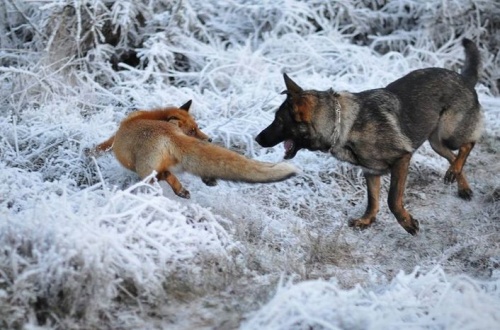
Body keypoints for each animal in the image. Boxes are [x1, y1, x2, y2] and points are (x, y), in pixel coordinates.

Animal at [87, 100, 296, 197]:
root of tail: (168, 133)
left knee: (161, 176)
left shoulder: (114, 139)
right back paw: (190, 187)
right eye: (194, 130)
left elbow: (102, 147)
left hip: (145, 173)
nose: (210, 139)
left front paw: (89, 154)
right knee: (174, 173)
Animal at [256, 38, 482, 235]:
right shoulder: (371, 172)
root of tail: (464, 79)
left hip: (448, 133)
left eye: (278, 121)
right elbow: (372, 200)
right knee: (453, 156)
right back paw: (460, 183)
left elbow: (392, 200)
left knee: (468, 144)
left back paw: (455, 171)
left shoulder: (402, 159)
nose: (257, 139)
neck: (342, 124)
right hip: (436, 142)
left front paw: (407, 223)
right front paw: (366, 220)